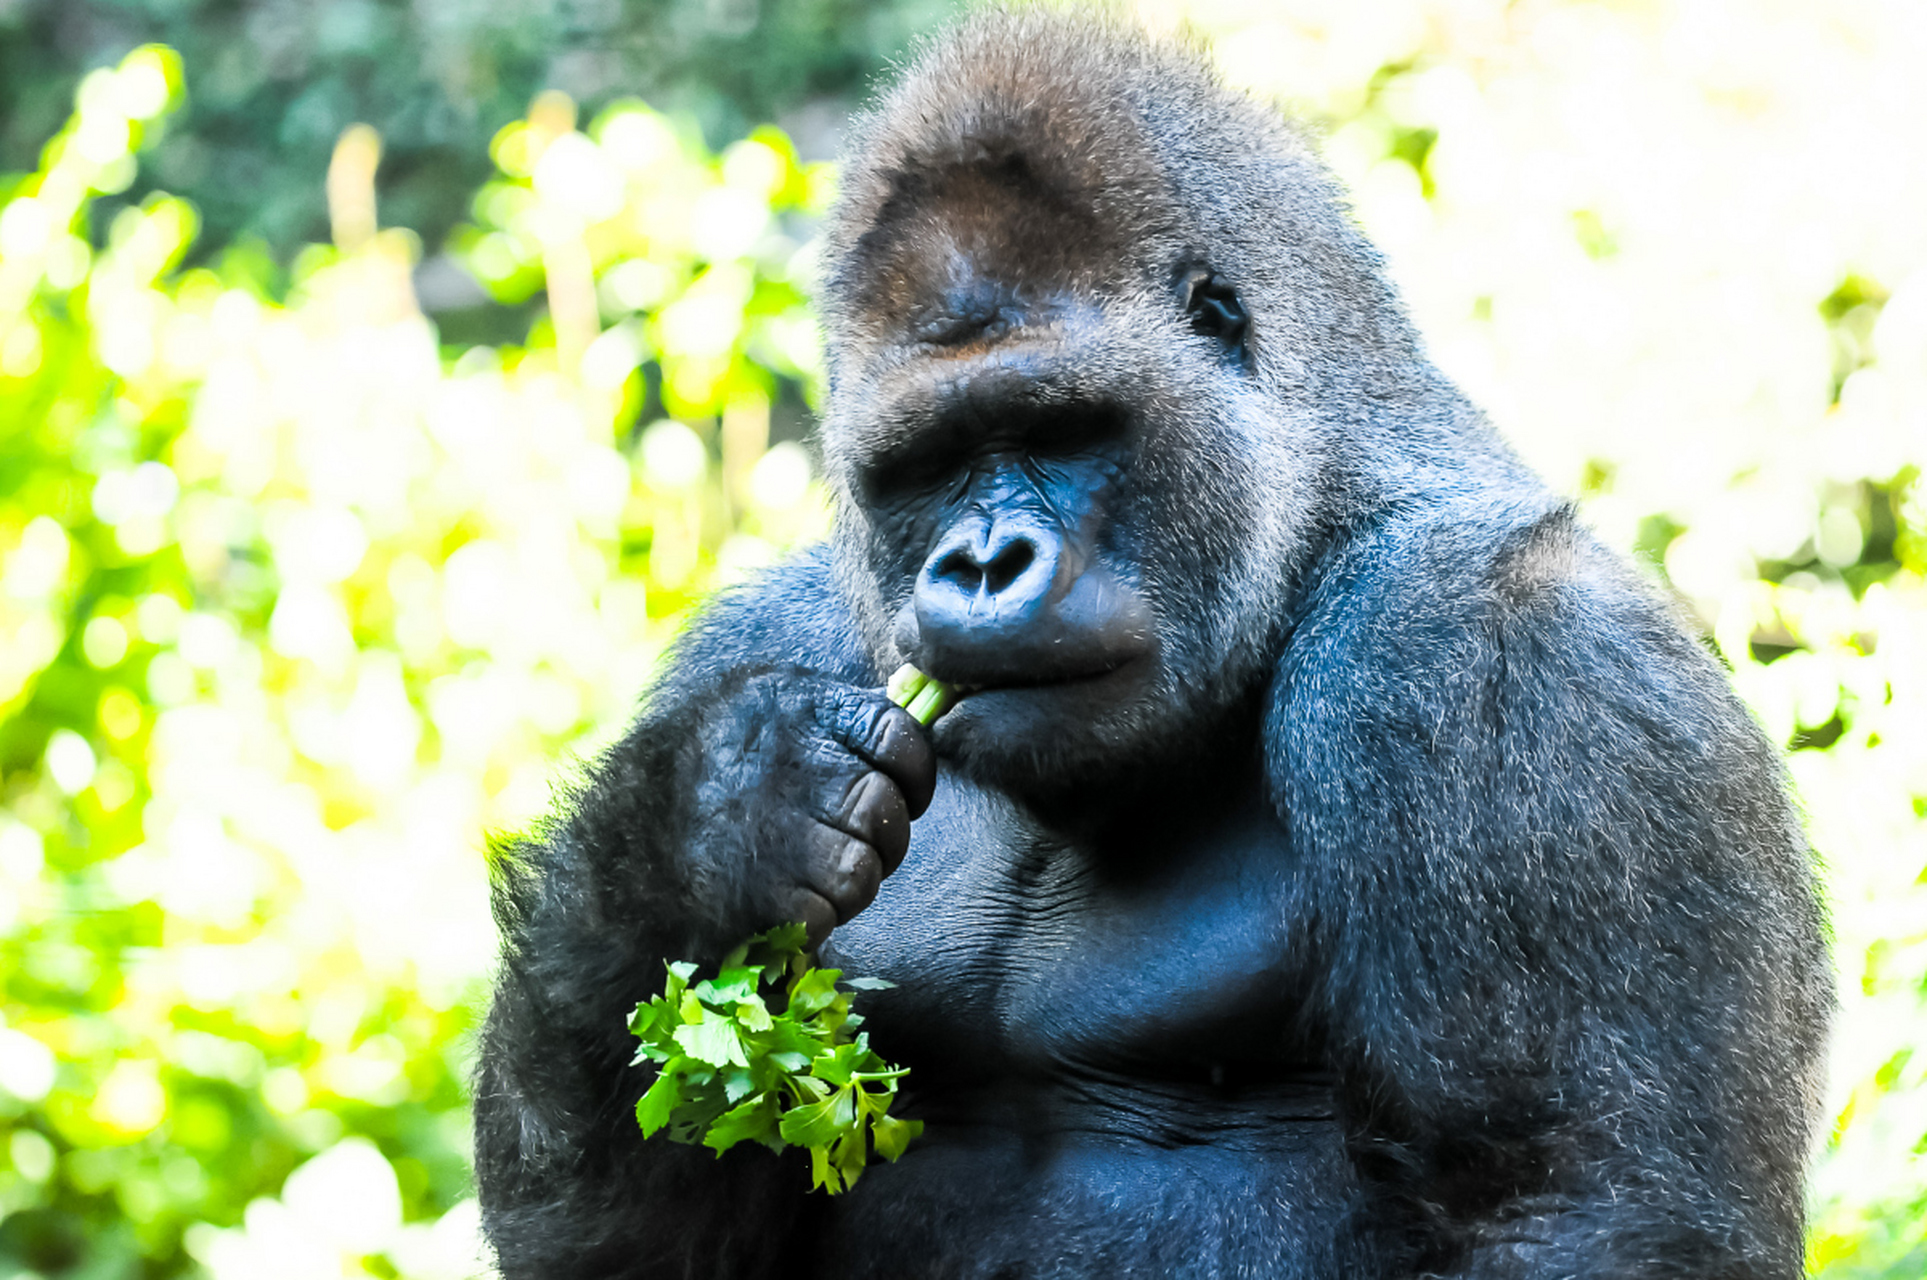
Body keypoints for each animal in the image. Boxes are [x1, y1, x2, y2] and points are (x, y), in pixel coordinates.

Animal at [474, 10, 1826, 1280]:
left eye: (1059, 429)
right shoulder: (758, 633)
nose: (979, 565)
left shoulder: (1508, 661)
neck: (1306, 520)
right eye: (930, 462)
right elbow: (624, 1233)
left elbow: (1571, 1201)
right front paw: (697, 826)